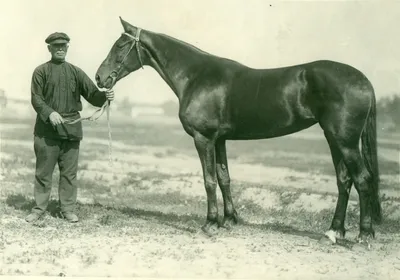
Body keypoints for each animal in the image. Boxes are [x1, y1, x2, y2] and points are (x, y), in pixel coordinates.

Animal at [96, 17, 382, 245]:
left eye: (120, 46)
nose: (99, 78)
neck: (195, 76)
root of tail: (365, 81)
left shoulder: (203, 139)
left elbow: (209, 180)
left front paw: (210, 224)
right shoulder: (219, 140)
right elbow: (224, 178)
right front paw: (230, 219)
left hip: (345, 141)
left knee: (363, 179)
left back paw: (363, 235)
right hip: (334, 139)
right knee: (344, 181)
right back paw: (333, 232)